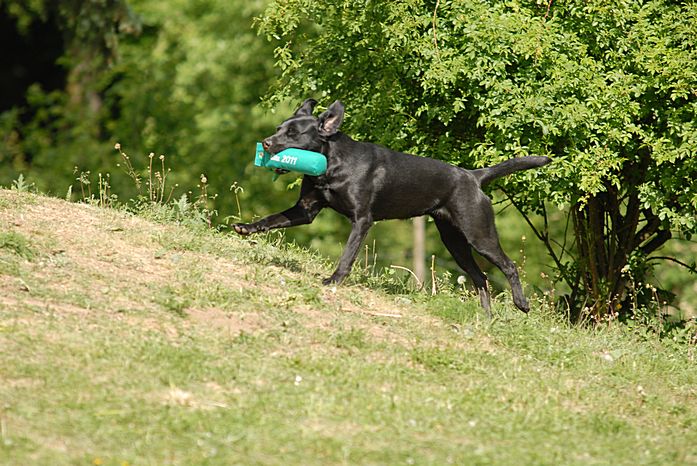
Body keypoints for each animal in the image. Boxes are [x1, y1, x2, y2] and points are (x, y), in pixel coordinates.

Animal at [233, 99, 551, 316]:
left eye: (294, 134)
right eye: (278, 128)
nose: (266, 142)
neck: (332, 163)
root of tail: (474, 176)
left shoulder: (362, 220)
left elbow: (347, 255)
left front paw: (334, 280)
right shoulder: (306, 210)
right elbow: (271, 219)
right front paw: (245, 227)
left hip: (478, 234)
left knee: (508, 266)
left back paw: (521, 304)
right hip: (454, 241)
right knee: (481, 278)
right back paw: (485, 318)